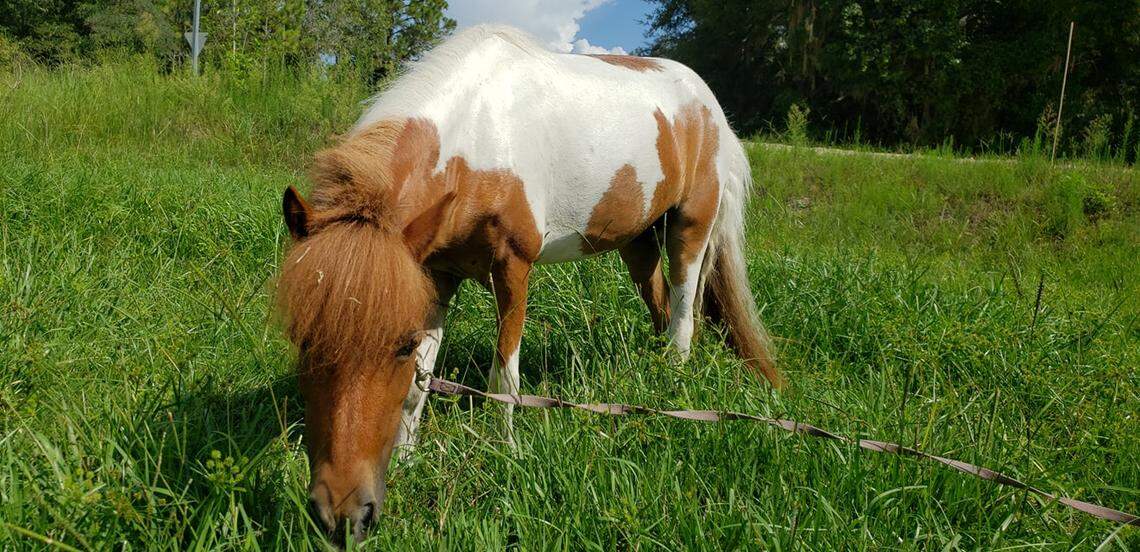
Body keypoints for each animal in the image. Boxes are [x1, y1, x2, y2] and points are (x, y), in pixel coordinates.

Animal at [275, 25, 783, 542]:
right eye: (301, 339)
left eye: (400, 345)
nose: (342, 516)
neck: (476, 138)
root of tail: (710, 106)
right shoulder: (436, 274)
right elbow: (420, 384)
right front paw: (407, 461)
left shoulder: (513, 268)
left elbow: (505, 378)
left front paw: (506, 454)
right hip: (638, 242)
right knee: (661, 308)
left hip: (691, 228)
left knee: (682, 318)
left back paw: (672, 391)